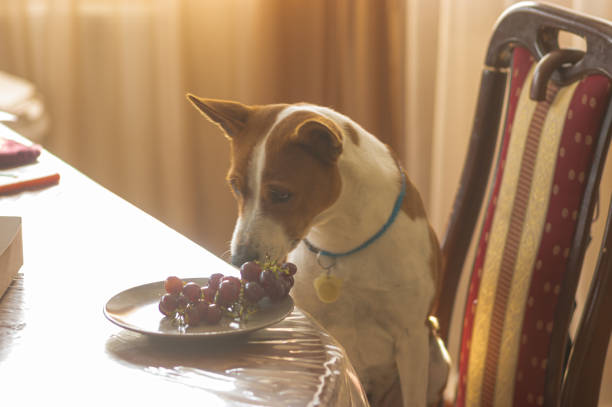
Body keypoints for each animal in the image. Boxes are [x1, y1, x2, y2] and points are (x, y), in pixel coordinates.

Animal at [186, 96, 450, 407]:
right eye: (235, 187)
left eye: (282, 194)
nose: (241, 259)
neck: (341, 241)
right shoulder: (317, 325)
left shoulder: (411, 338)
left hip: (437, 356)